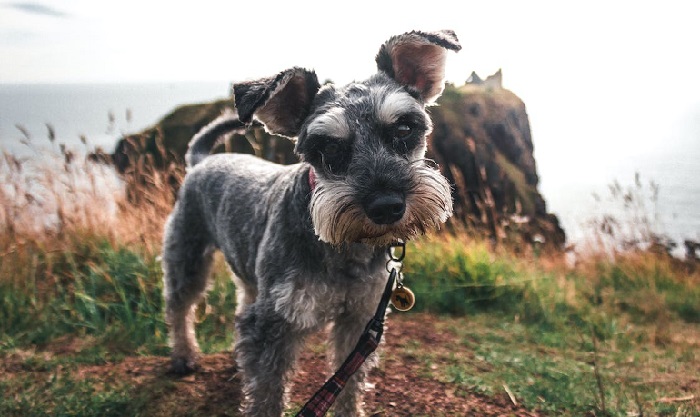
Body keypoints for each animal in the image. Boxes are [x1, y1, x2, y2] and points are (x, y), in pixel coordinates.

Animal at [162, 30, 462, 416]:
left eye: (404, 128)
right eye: (328, 147)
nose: (386, 206)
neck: (346, 248)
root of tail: (200, 161)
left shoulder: (359, 321)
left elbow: (349, 384)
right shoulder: (275, 325)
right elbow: (267, 394)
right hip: (187, 256)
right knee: (180, 306)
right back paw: (184, 357)